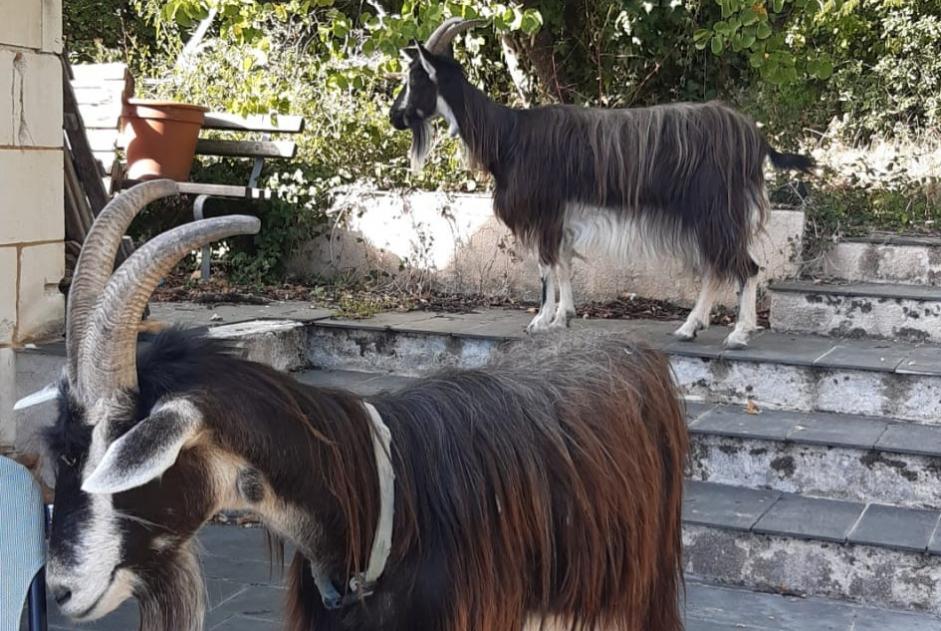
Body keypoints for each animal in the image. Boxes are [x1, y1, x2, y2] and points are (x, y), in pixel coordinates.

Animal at [389, 18, 814, 348]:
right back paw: (690, 327)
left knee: (747, 266)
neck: (508, 136)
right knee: (717, 266)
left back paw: (739, 333)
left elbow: (545, 266)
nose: (395, 117)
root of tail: (754, 137)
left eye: (414, 78)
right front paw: (563, 317)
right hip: (706, 215)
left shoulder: (545, 211)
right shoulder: (560, 215)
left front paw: (541, 321)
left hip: (715, 209)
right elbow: (562, 264)